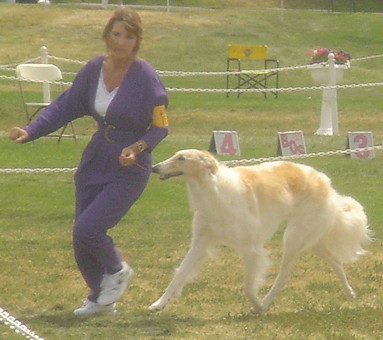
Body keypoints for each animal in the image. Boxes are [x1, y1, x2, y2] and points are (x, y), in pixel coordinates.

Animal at [149, 150, 372, 314]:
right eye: (175, 155)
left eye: (181, 158)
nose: (153, 167)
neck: (214, 191)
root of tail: (325, 182)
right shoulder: (201, 242)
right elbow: (179, 275)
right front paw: (158, 304)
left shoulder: (252, 249)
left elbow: (248, 286)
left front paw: (257, 305)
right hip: (310, 240)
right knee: (336, 262)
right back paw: (350, 293)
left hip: (293, 238)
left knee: (282, 278)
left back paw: (265, 303)